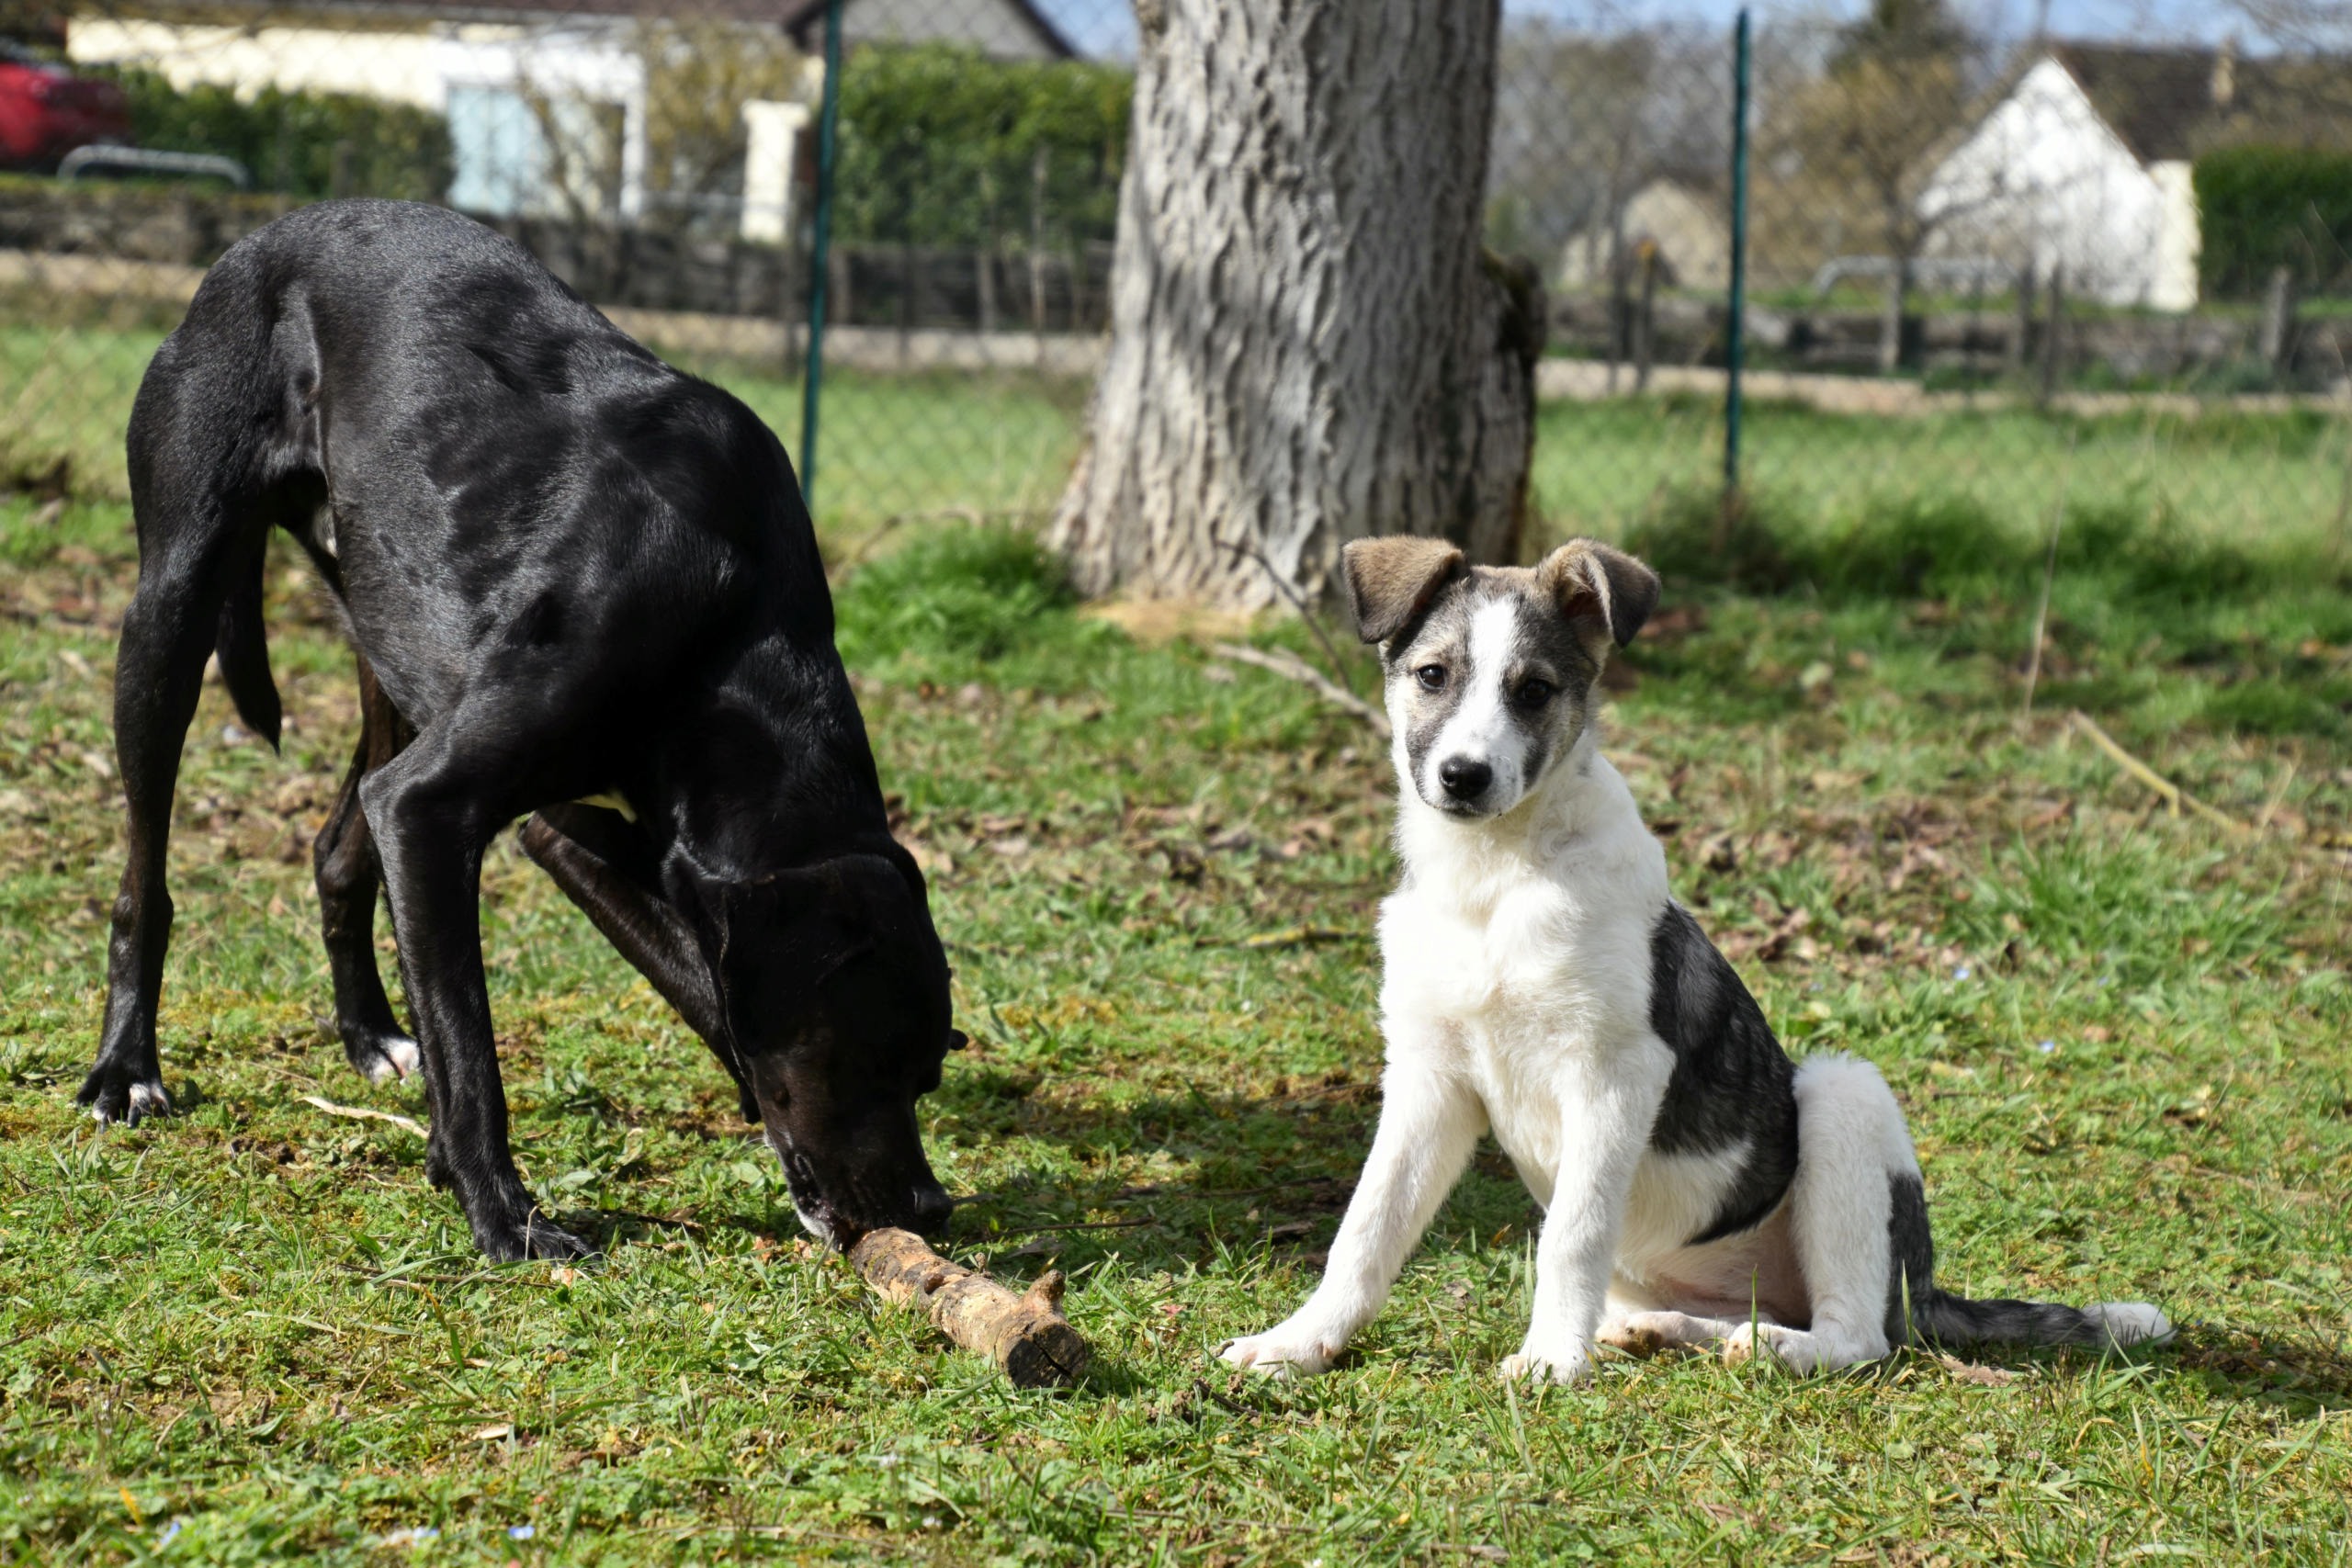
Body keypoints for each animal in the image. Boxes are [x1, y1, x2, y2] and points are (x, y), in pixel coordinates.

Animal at [83, 202, 959, 1259]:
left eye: (930, 1071)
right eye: (870, 1056)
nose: (930, 1210)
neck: (734, 631)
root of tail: (263, 238)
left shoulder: (585, 831)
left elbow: (697, 978)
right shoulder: (433, 805)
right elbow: (473, 1037)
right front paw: (502, 1211)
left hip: (390, 640)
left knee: (339, 849)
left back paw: (372, 1035)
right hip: (172, 608)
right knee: (146, 874)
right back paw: (126, 1068)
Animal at [1223, 540, 2173, 1382]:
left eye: (1534, 691)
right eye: (1432, 675)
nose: (1463, 776)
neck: (1495, 877)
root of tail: (1926, 1289)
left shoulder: (1616, 1071)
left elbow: (1571, 1231)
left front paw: (1550, 1361)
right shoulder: (1431, 1078)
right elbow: (1366, 1228)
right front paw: (1301, 1342)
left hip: (1843, 1093)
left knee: (1860, 1337)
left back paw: (1778, 1349)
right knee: (1716, 1310)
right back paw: (1667, 1330)